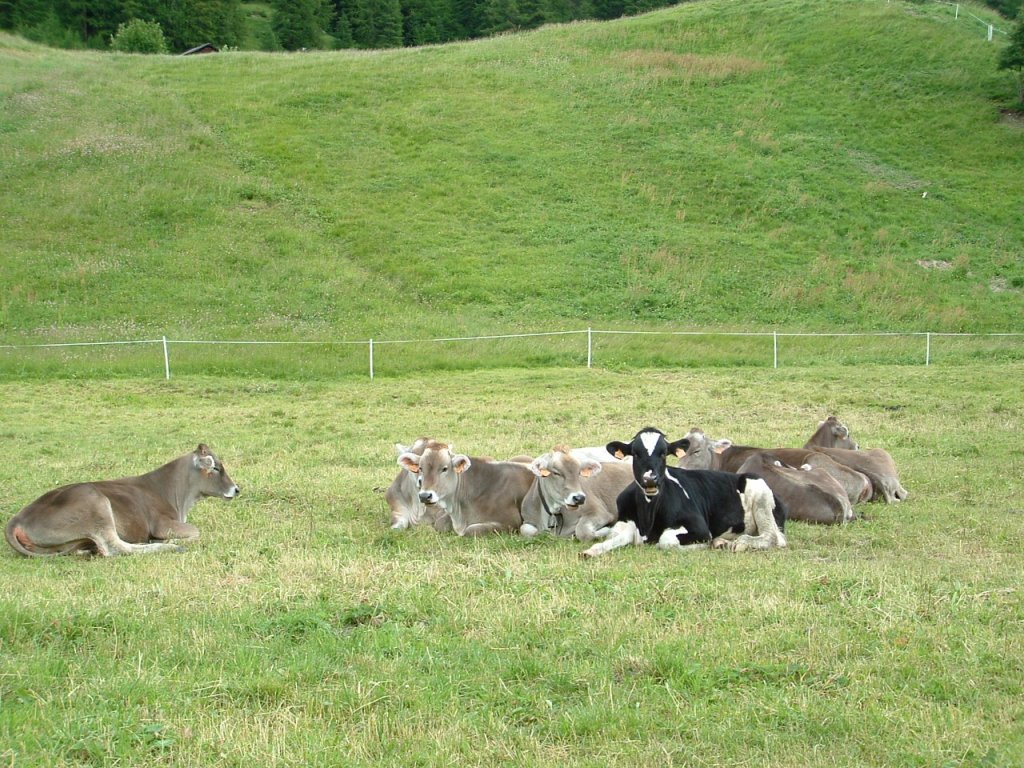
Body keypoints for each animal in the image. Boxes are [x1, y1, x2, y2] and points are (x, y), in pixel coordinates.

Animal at [5, 444, 239, 561]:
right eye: (216, 468)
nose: (236, 489)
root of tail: (18, 517)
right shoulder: (163, 523)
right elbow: (196, 532)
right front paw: (169, 540)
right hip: (97, 505)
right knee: (114, 548)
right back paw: (170, 546)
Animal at [395, 442, 532, 536]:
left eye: (444, 468)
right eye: (420, 468)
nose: (424, 496)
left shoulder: (510, 522)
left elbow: (471, 530)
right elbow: (440, 524)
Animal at [581, 428, 786, 561]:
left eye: (664, 453)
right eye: (636, 453)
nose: (650, 479)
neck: (648, 519)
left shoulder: (700, 529)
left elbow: (666, 540)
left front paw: (702, 545)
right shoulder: (624, 524)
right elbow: (611, 539)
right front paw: (590, 551)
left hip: (761, 496)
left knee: (773, 538)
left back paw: (738, 543)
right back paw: (722, 542)